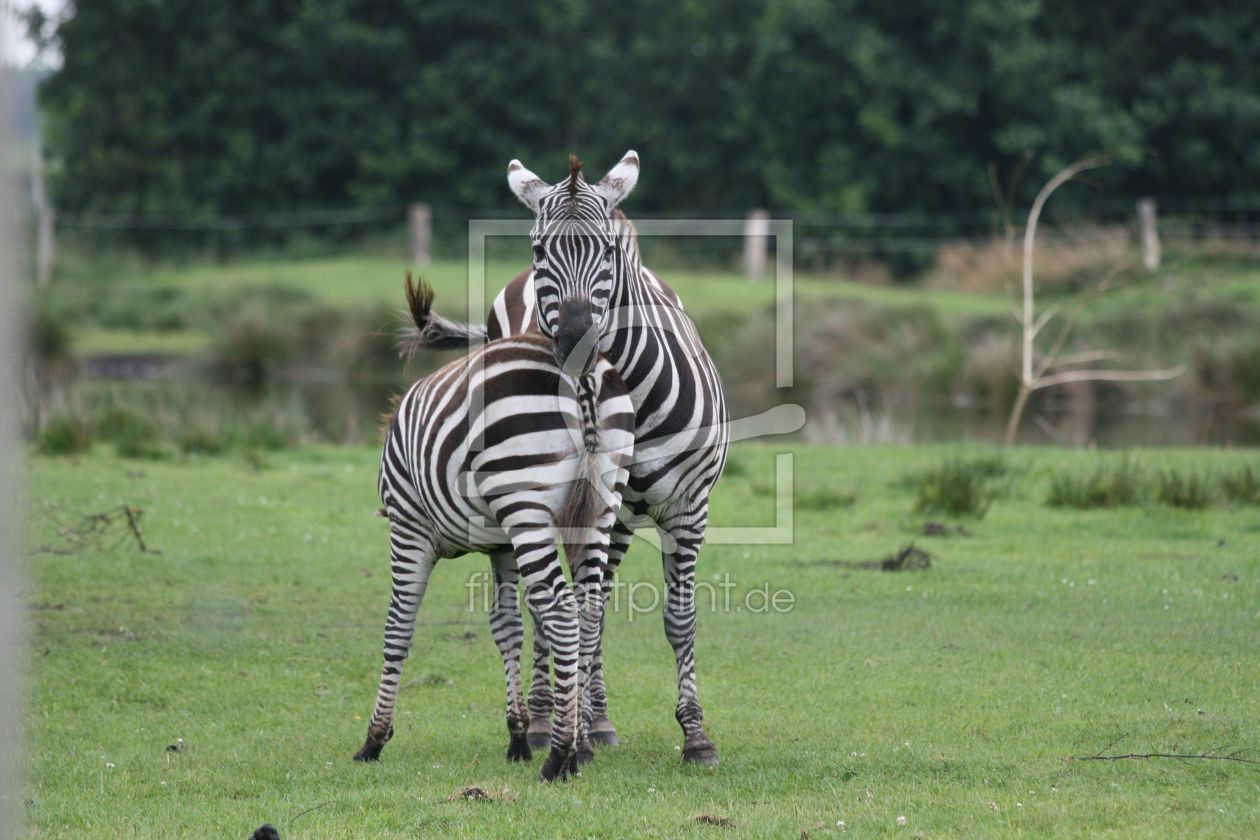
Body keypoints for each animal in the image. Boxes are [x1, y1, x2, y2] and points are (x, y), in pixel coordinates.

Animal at [352, 275, 635, 780]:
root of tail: (581, 376)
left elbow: (398, 627)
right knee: (587, 611)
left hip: (525, 506)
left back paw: (559, 757)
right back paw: (574, 748)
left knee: (562, 614)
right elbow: (506, 628)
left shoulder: (407, 527)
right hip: (601, 506)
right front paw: (518, 736)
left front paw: (374, 739)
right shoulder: (501, 546)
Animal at [413, 151, 730, 770]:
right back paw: (544, 721)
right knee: (553, 609)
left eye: (606, 250)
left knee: (593, 603)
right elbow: (571, 614)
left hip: (613, 518)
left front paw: (696, 736)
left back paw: (594, 718)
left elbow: (675, 619)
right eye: (540, 249)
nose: (577, 341)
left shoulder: (689, 508)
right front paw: (568, 733)